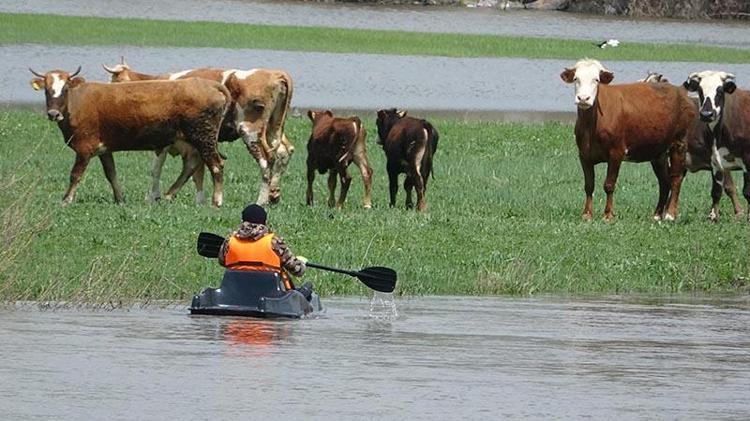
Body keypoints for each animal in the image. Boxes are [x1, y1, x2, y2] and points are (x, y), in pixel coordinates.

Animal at [29, 67, 228, 206]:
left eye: (64, 90)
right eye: (47, 90)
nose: (53, 114)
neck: (77, 101)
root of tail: (208, 84)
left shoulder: (85, 148)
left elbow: (75, 174)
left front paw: (66, 199)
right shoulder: (104, 149)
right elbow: (111, 173)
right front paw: (120, 198)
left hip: (204, 138)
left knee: (216, 165)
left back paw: (217, 200)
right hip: (192, 141)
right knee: (192, 166)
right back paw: (168, 195)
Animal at [103, 59, 294, 205]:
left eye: (114, 81)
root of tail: (275, 74)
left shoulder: (164, 141)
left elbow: (156, 168)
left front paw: (153, 196)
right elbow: (196, 170)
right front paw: (194, 199)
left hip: (250, 131)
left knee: (266, 161)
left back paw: (260, 200)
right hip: (273, 128)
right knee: (283, 152)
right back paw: (273, 194)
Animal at [560, 59, 695, 221]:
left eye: (596, 80)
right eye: (576, 79)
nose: (583, 98)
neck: (592, 125)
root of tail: (679, 91)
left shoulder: (616, 153)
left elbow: (609, 184)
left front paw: (608, 215)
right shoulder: (584, 154)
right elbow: (589, 185)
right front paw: (587, 214)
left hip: (678, 143)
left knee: (676, 178)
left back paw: (670, 214)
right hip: (658, 153)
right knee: (664, 181)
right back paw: (657, 215)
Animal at [683, 70, 750, 222]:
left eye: (719, 91)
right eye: (700, 91)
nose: (706, 114)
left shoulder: (747, 159)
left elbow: (747, 191)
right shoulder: (715, 161)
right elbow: (717, 190)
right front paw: (713, 216)